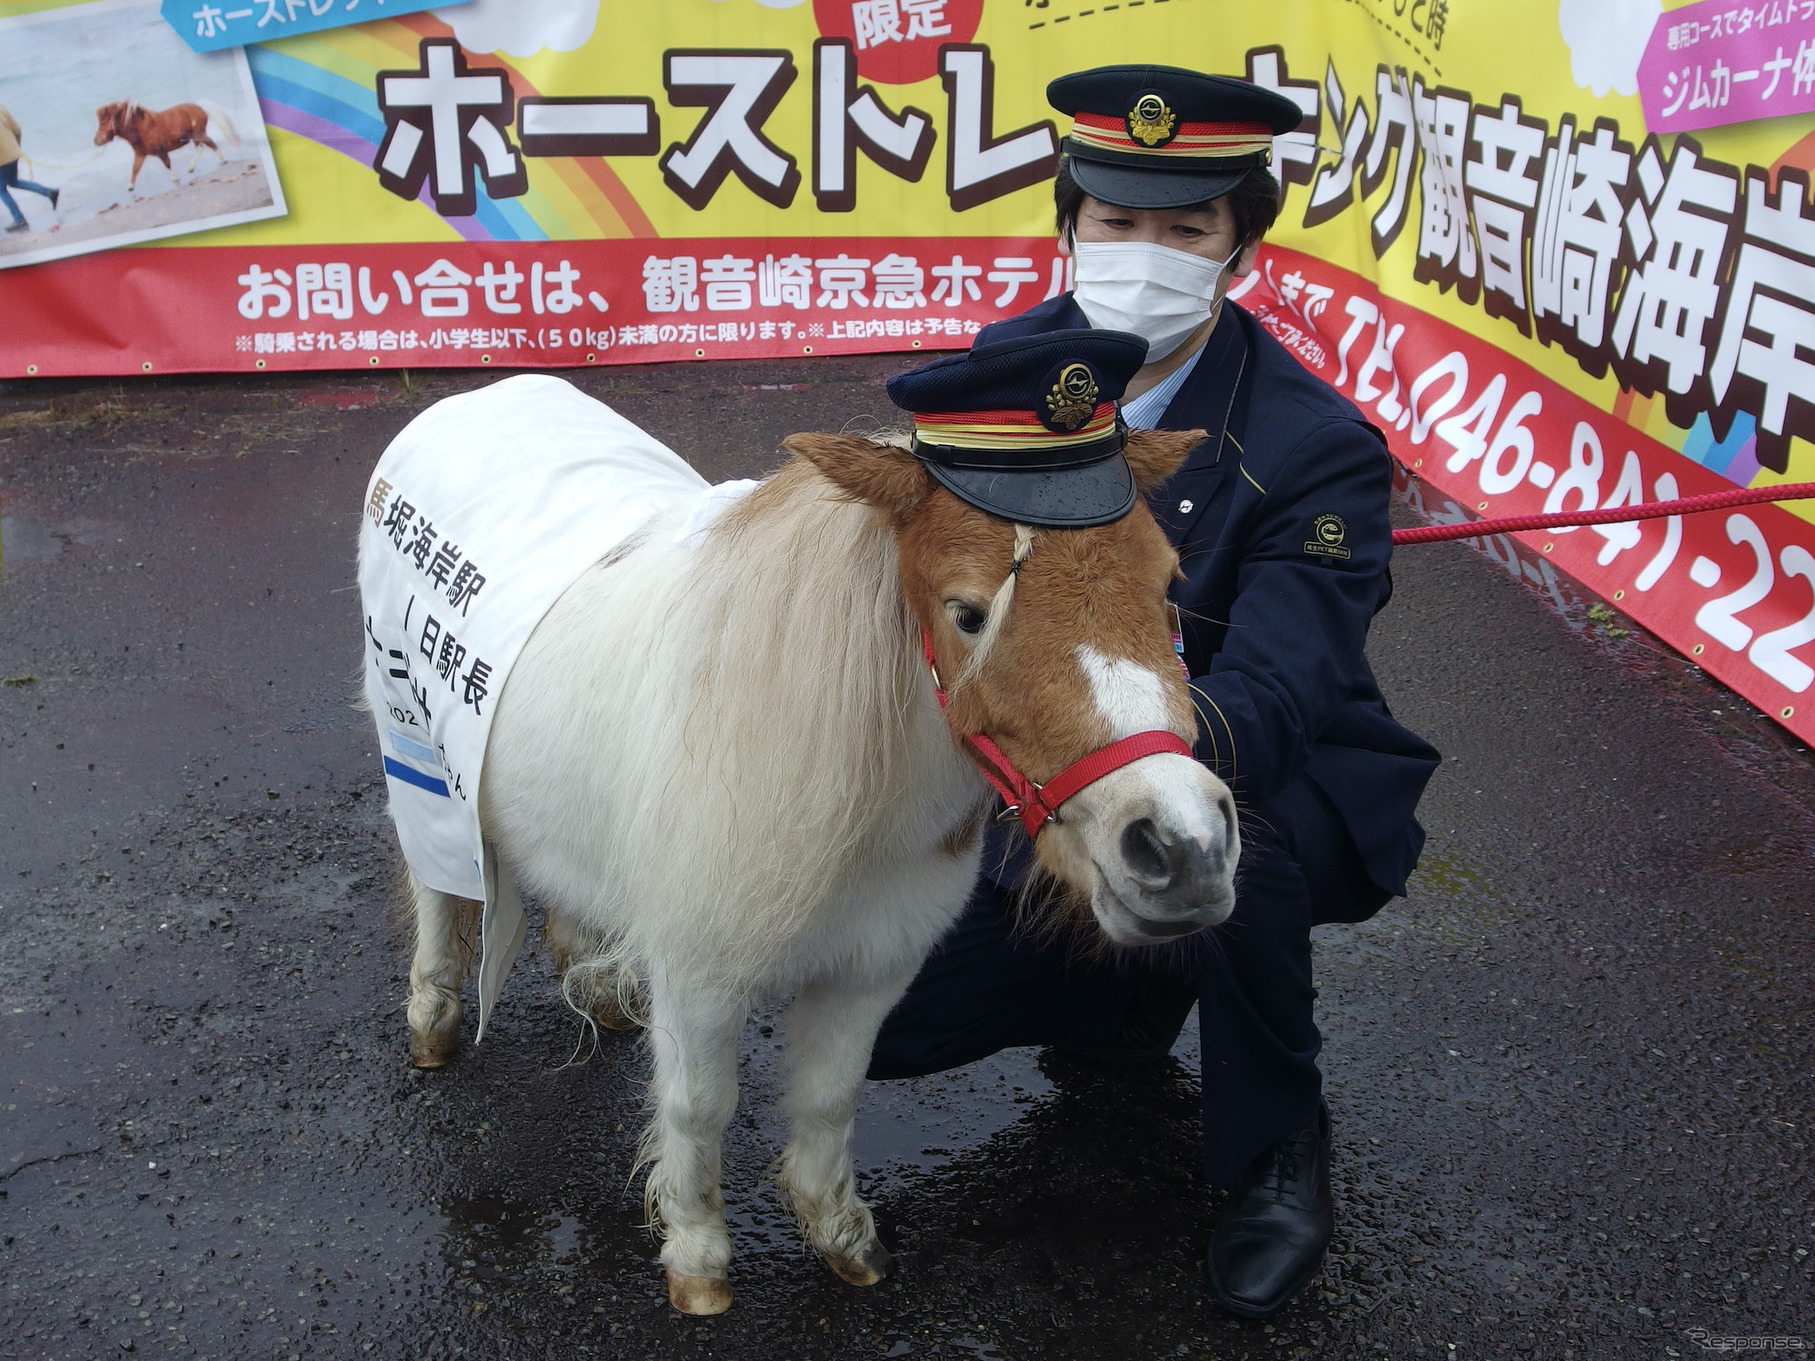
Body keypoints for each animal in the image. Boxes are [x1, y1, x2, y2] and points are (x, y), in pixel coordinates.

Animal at [94, 99, 228, 192]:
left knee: (204, 146)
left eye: (103, 123)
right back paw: (217, 161)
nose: (96, 141)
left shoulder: (161, 152)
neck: (142, 129)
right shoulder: (140, 155)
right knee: (207, 145)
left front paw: (175, 178)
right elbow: (135, 169)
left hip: (197, 134)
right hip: (197, 135)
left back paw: (196, 166)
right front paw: (130, 187)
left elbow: (167, 164)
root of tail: (201, 109)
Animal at [379, 402, 1234, 1313]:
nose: (1184, 845)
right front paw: (697, 1257)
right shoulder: (699, 974)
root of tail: (477, 402)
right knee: (436, 888)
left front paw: (840, 1233)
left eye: (1169, 585)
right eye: (969, 612)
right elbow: (698, 1107)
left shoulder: (876, 964)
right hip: (418, 758)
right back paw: (433, 1018)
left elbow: (829, 1094)